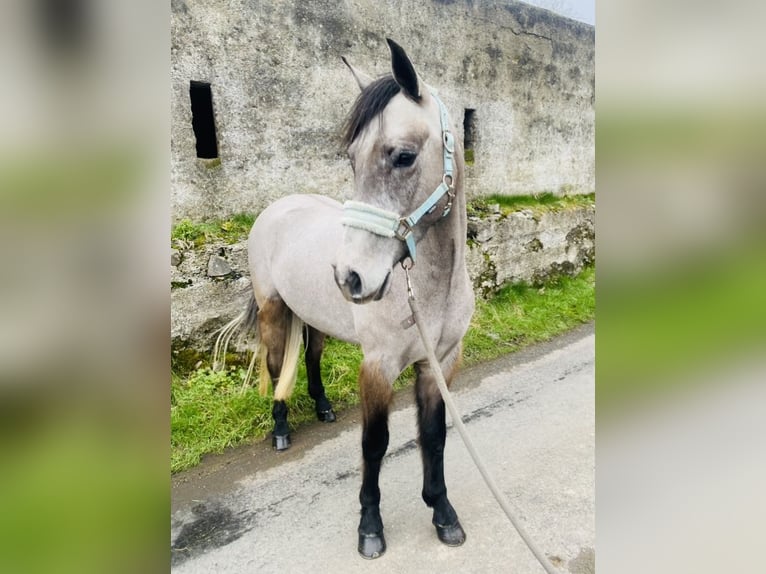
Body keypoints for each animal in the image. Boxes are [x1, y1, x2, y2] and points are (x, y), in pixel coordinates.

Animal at [214, 38, 474, 560]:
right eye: (352, 159)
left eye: (403, 156)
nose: (350, 276)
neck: (430, 291)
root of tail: (276, 208)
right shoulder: (378, 367)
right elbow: (375, 443)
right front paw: (370, 527)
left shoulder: (440, 361)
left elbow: (434, 436)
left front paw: (442, 512)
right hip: (274, 313)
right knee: (277, 366)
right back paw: (280, 430)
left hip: (315, 317)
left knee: (312, 356)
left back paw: (323, 407)